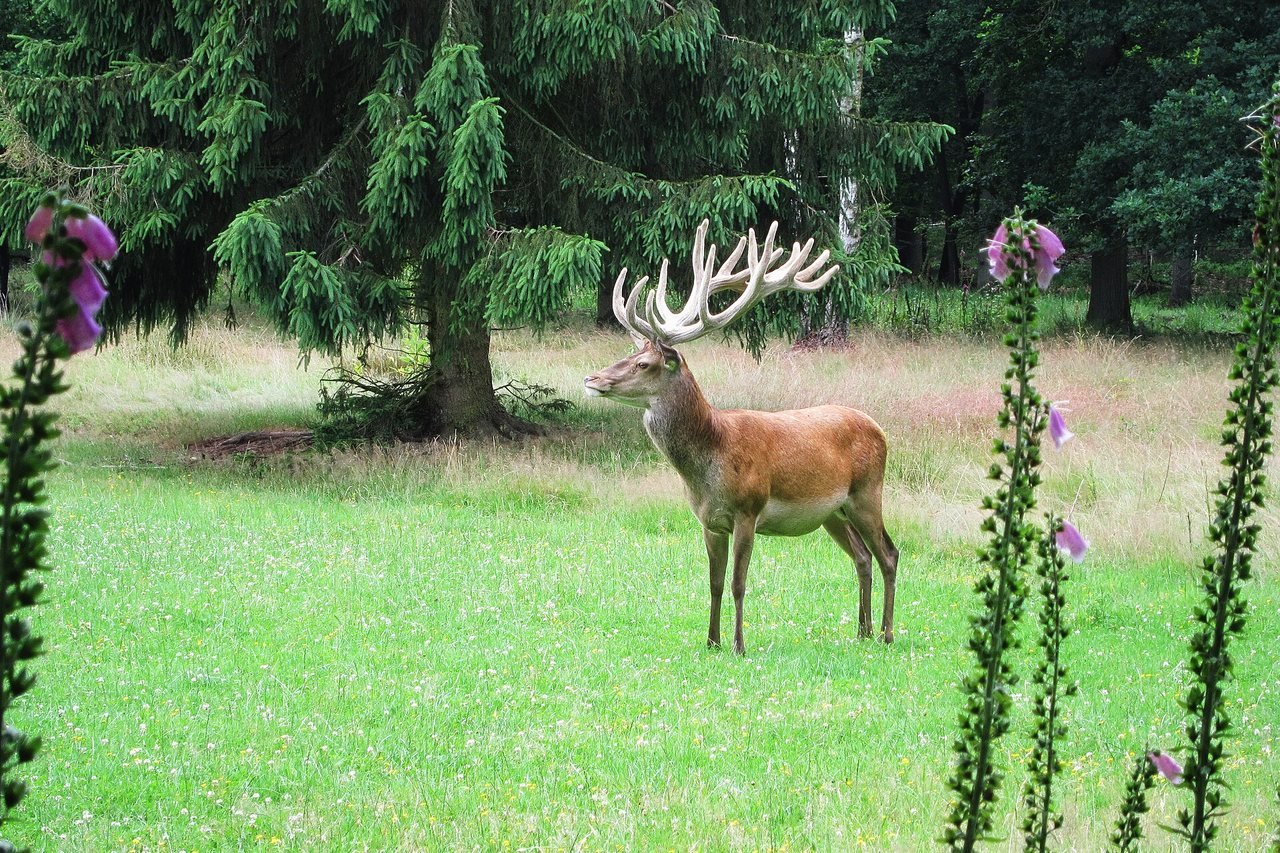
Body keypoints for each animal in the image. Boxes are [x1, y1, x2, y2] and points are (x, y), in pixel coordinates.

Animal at [584, 219, 898, 655]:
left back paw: (886, 633)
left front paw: (738, 646)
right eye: (627, 355)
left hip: (868, 492)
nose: (591, 379)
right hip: (833, 512)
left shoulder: (748, 510)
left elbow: (738, 584)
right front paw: (711, 642)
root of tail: (879, 428)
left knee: (889, 553)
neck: (710, 462)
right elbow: (714, 584)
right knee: (862, 557)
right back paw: (861, 631)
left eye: (643, 363)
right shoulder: (708, 521)